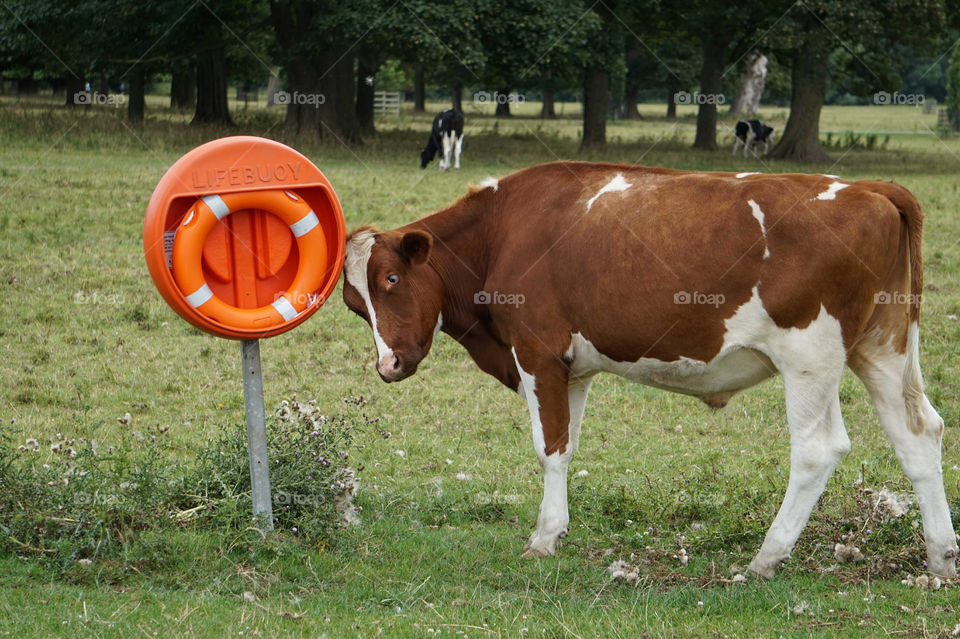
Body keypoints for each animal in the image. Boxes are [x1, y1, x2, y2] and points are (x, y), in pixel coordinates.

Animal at [342, 161, 958, 579]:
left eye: (392, 280)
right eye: (354, 304)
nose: (389, 364)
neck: (502, 230)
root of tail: (871, 187)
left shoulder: (537, 352)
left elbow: (550, 447)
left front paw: (543, 537)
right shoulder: (574, 368)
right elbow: (568, 445)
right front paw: (556, 529)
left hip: (811, 356)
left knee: (818, 449)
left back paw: (766, 557)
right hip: (882, 347)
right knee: (918, 432)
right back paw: (941, 557)